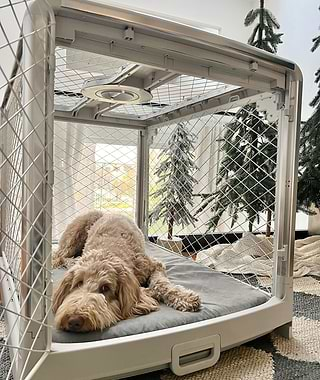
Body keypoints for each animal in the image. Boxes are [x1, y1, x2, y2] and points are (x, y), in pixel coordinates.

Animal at [52, 211, 201, 332]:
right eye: (78, 283)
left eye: (105, 288)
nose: (74, 321)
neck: (109, 250)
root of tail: (105, 212)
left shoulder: (153, 265)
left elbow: (161, 284)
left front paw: (184, 298)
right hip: (74, 236)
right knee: (59, 256)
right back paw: (73, 261)